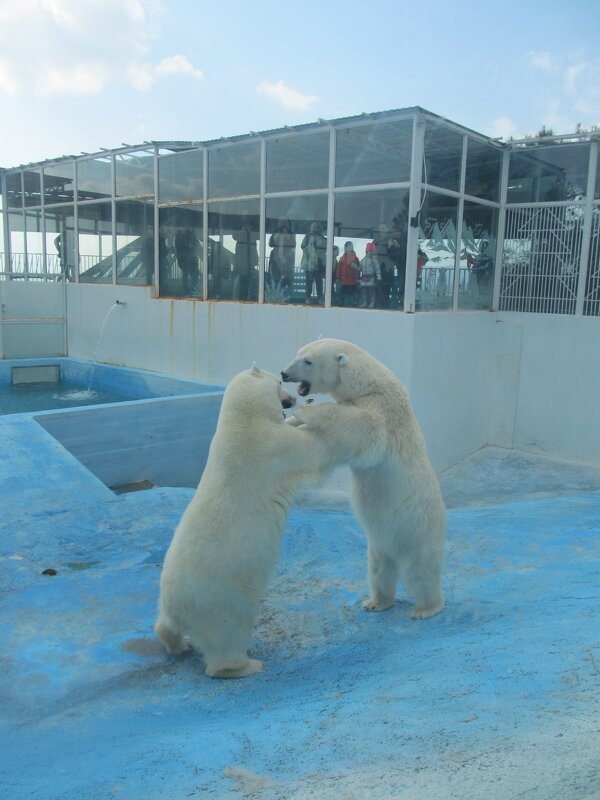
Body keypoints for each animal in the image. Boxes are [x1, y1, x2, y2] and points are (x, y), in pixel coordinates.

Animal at [155, 366, 330, 680]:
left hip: (166, 602)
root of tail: (179, 607)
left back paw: (179, 644)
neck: (241, 424)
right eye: (279, 381)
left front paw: (304, 412)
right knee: (228, 637)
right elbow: (310, 450)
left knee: (165, 626)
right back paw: (245, 666)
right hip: (221, 601)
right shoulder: (272, 449)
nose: (291, 400)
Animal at [282, 338, 446, 620]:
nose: (284, 373)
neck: (369, 384)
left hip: (418, 533)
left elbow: (358, 427)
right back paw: (376, 602)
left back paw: (426, 608)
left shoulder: (382, 410)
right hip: (379, 543)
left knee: (419, 572)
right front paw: (290, 420)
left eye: (308, 361)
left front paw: (305, 410)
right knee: (379, 570)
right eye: (298, 353)